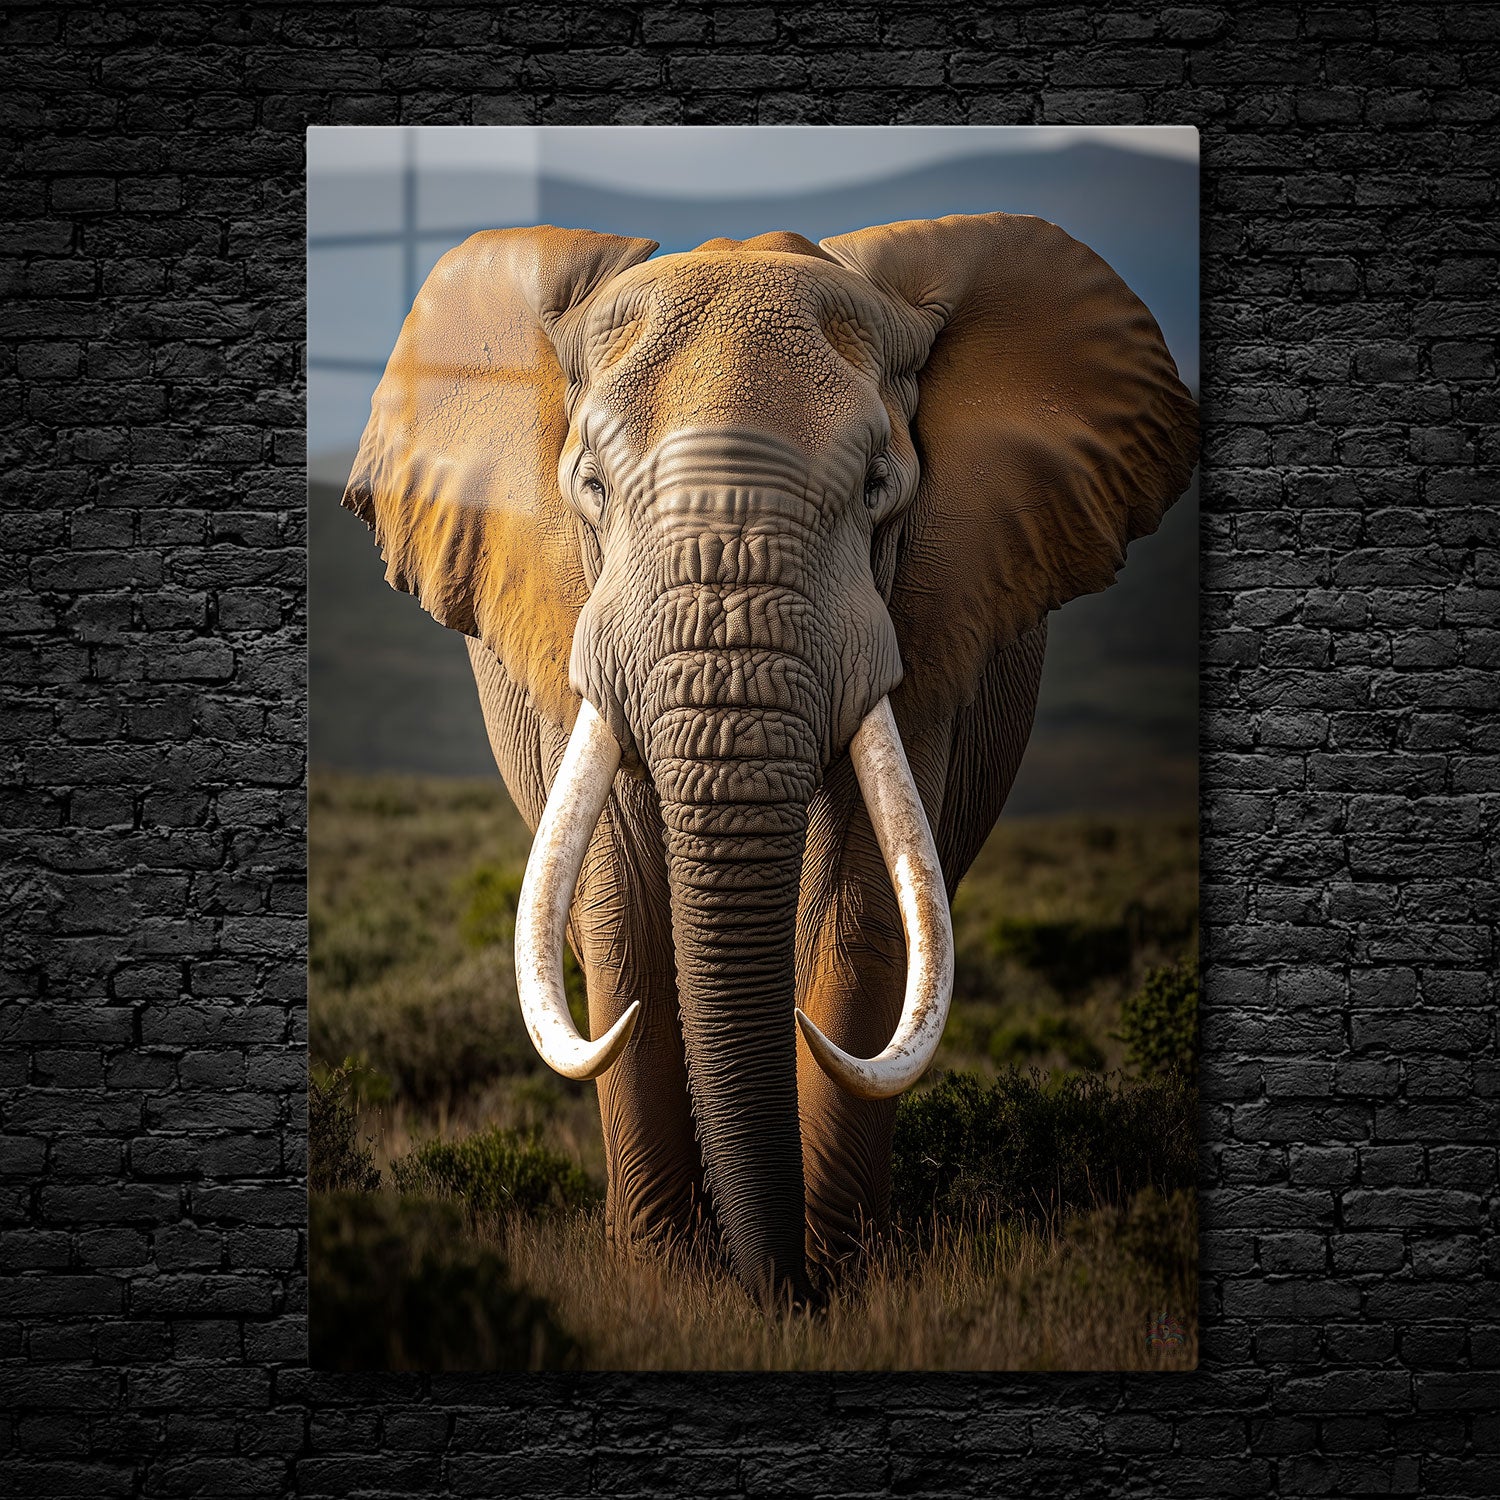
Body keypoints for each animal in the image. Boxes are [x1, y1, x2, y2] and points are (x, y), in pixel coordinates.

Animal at [342, 214, 1198, 1306]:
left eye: (879, 488)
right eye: (591, 486)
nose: (773, 1287)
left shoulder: (926, 617)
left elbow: (861, 901)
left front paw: (842, 1278)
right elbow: (619, 899)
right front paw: (666, 1282)